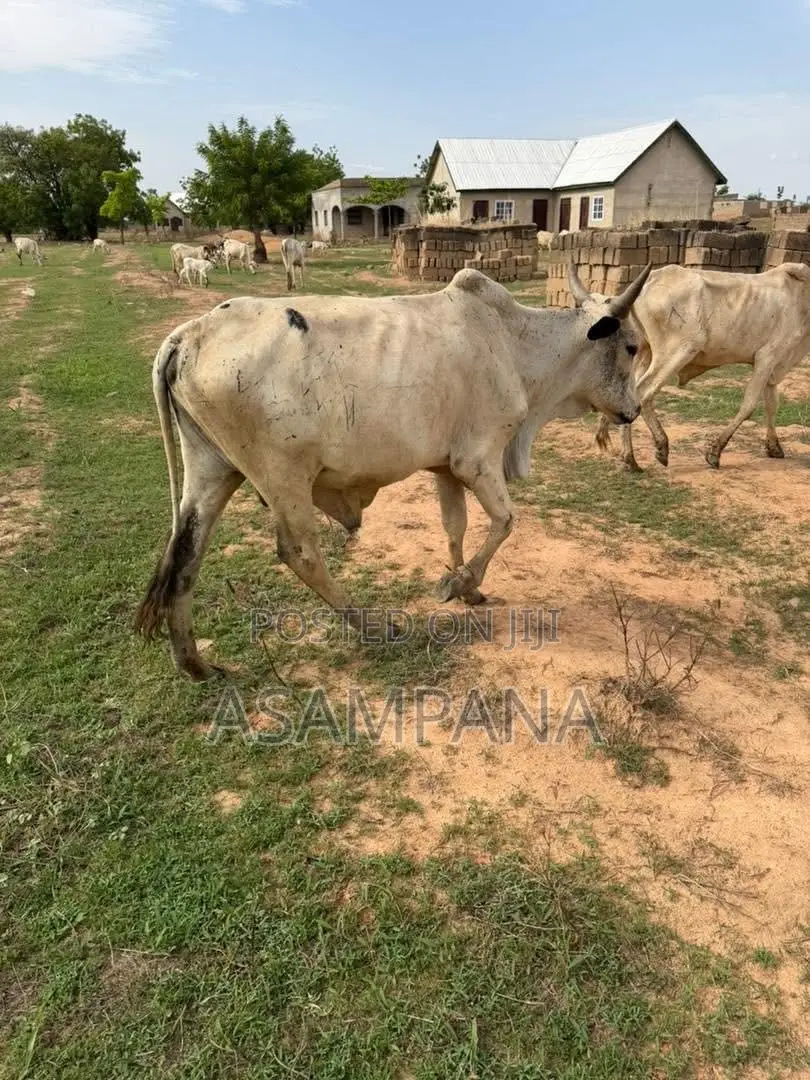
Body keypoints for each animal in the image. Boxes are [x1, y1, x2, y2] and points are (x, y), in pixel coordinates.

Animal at [135, 260, 649, 680]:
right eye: (630, 347)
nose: (634, 411)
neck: (513, 343)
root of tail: (187, 336)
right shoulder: (478, 459)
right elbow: (505, 521)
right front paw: (461, 583)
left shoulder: (446, 468)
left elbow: (455, 528)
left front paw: (467, 587)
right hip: (283, 476)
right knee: (299, 552)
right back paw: (373, 626)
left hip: (211, 467)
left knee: (185, 552)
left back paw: (194, 663)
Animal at [593, 262, 810, 470]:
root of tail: (652, 279)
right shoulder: (767, 357)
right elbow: (749, 406)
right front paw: (715, 453)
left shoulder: (775, 367)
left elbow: (772, 405)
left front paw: (774, 447)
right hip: (680, 350)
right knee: (644, 393)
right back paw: (660, 447)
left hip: (645, 351)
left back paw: (630, 459)